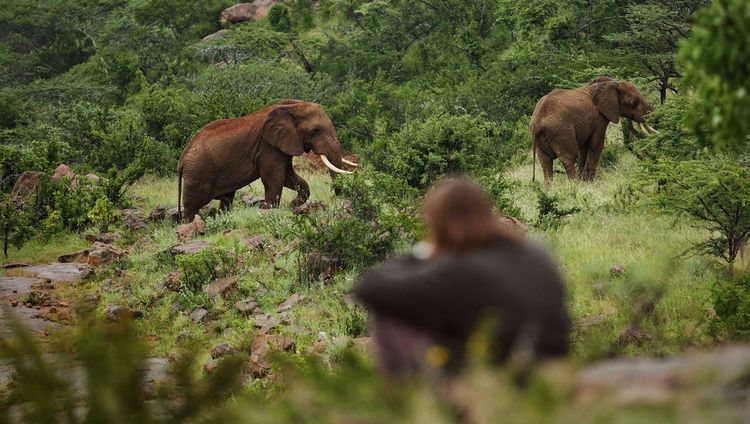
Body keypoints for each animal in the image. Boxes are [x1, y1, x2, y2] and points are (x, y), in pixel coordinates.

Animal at [179, 100, 362, 222]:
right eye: (315, 130)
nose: (338, 197)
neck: (291, 106)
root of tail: (182, 158)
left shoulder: (282, 145)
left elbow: (289, 178)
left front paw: (293, 206)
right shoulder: (268, 147)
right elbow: (274, 179)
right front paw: (270, 210)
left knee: (227, 198)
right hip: (197, 173)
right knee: (192, 205)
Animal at [528, 77, 656, 183]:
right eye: (634, 102)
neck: (612, 83)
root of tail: (537, 123)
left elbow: (584, 148)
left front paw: (584, 180)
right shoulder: (598, 118)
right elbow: (596, 145)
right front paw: (588, 182)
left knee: (545, 161)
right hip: (560, 132)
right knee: (568, 158)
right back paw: (575, 185)